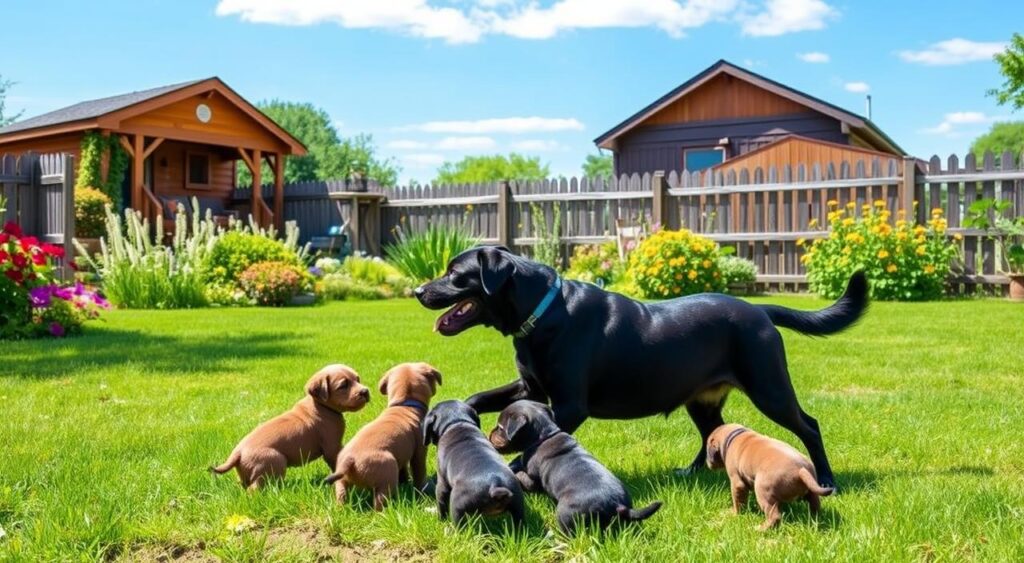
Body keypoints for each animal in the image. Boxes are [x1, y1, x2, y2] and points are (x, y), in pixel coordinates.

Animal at [209, 366, 370, 489]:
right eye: (343, 385)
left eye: (358, 379)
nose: (365, 391)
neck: (320, 405)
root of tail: (237, 453)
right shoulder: (332, 446)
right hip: (274, 461)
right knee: (256, 489)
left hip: (245, 474)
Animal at [325, 362, 442, 511]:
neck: (405, 403)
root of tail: (349, 461)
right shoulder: (419, 453)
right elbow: (419, 472)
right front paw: (424, 488)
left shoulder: (402, 453)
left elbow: (404, 469)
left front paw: (404, 482)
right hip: (387, 471)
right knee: (379, 501)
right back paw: (388, 509)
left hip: (342, 480)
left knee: (341, 493)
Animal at [411, 247, 868, 489]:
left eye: (455, 274)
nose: (416, 290)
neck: (542, 313)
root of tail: (759, 310)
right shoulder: (530, 388)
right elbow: (479, 397)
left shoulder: (569, 405)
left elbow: (530, 448)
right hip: (701, 400)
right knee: (713, 430)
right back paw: (691, 470)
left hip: (769, 386)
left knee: (809, 425)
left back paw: (827, 479)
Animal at [421, 399, 524, 528]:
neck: (458, 422)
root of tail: (495, 485)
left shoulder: (442, 484)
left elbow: (441, 504)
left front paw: (440, 520)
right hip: (518, 504)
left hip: (457, 505)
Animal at [489, 399, 663, 536]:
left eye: (500, 428)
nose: (490, 434)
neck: (545, 435)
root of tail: (618, 505)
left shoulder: (533, 480)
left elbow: (522, 476)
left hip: (565, 512)